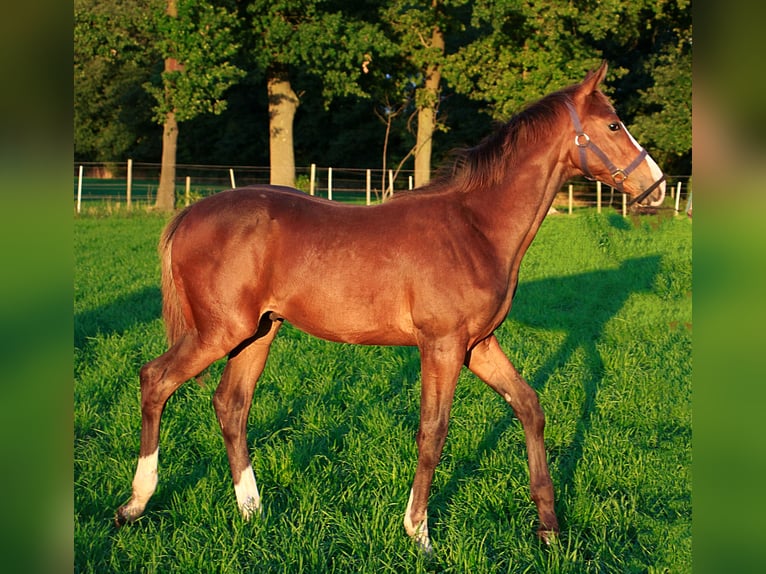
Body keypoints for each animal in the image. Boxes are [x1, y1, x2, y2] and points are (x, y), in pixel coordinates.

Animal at [114, 61, 665, 551]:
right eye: (613, 124)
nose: (656, 187)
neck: (475, 227)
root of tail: (187, 215)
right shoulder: (442, 346)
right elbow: (433, 431)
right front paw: (418, 533)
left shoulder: (479, 345)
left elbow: (529, 406)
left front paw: (548, 527)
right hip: (219, 332)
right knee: (155, 380)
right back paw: (135, 504)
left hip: (259, 332)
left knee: (231, 405)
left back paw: (253, 511)